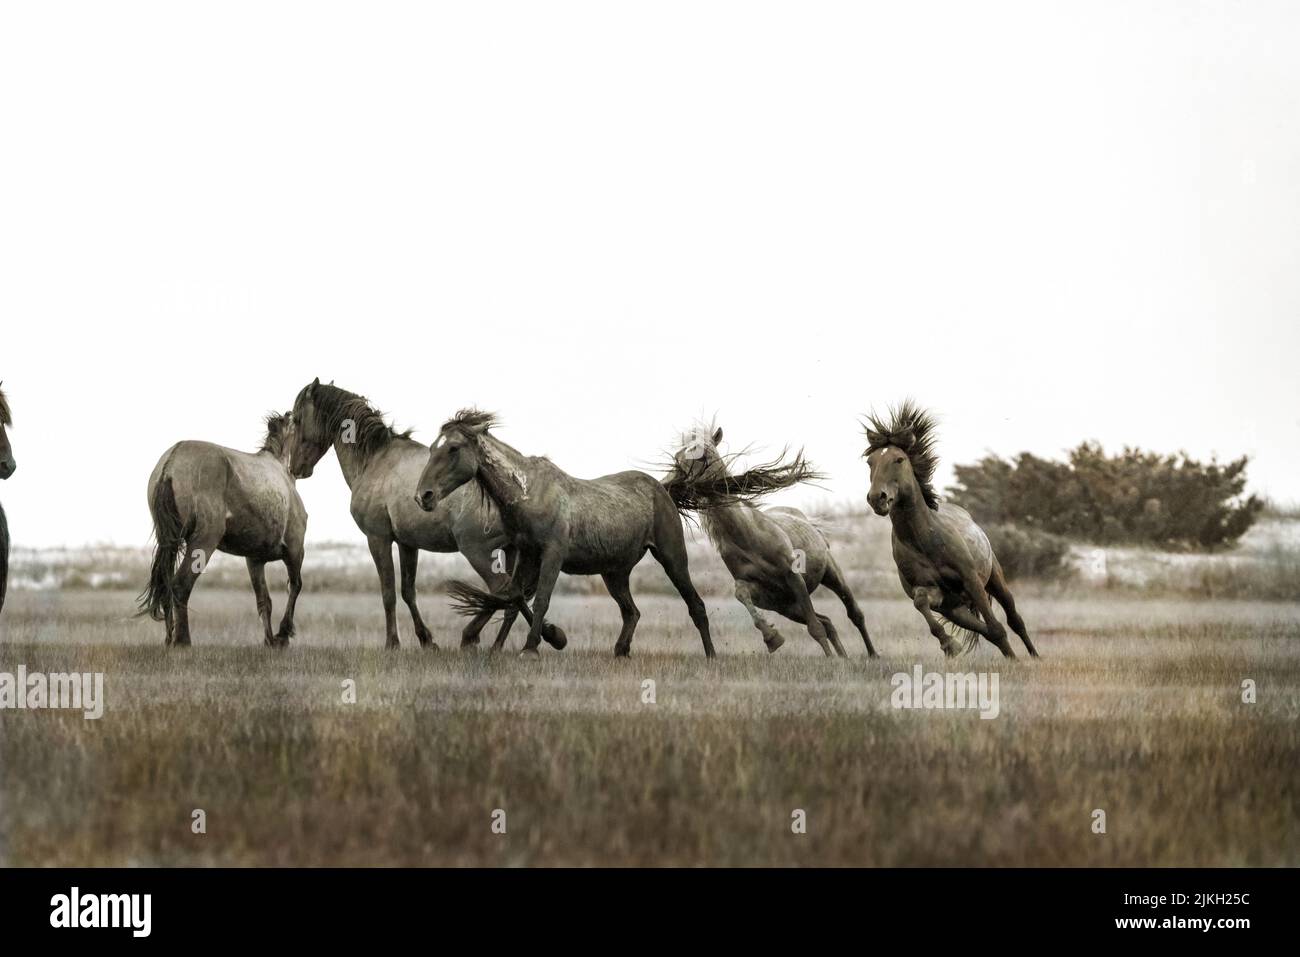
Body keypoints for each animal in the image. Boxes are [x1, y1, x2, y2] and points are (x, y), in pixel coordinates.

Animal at [138, 413, 307, 647]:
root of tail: (171, 463)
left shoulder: (254, 560)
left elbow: (264, 600)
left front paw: (270, 641)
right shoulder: (295, 549)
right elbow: (295, 586)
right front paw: (282, 635)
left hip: (170, 543)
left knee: (166, 584)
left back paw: (169, 639)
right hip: (204, 542)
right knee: (180, 585)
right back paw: (182, 641)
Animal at [287, 379, 563, 651]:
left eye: (297, 419)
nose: (296, 468)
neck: (375, 460)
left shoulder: (378, 539)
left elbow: (388, 592)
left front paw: (393, 643)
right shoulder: (408, 544)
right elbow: (408, 591)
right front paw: (426, 640)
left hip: (479, 551)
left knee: (505, 592)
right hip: (510, 551)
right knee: (510, 595)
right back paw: (497, 643)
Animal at [415, 410, 716, 658]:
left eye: (453, 448)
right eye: (431, 449)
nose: (423, 496)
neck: (529, 493)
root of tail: (662, 489)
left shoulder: (553, 555)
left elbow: (541, 600)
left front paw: (534, 647)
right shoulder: (527, 555)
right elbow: (514, 599)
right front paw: (505, 646)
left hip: (672, 558)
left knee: (696, 605)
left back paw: (711, 655)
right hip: (615, 572)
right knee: (632, 612)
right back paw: (621, 651)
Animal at [662, 422, 877, 658]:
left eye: (703, 455)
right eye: (677, 456)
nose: (668, 486)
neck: (748, 537)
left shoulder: (794, 579)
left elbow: (815, 629)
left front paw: (829, 660)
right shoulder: (767, 596)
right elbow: (742, 593)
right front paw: (772, 638)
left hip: (830, 574)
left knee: (853, 614)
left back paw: (872, 655)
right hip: (789, 608)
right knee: (827, 621)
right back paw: (843, 659)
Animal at [863, 400, 1038, 659]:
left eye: (899, 459)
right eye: (870, 462)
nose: (878, 498)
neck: (924, 538)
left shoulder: (972, 581)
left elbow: (998, 626)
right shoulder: (936, 595)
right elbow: (921, 603)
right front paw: (950, 645)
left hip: (995, 579)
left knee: (1014, 620)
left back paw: (1033, 657)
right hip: (955, 609)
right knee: (987, 629)